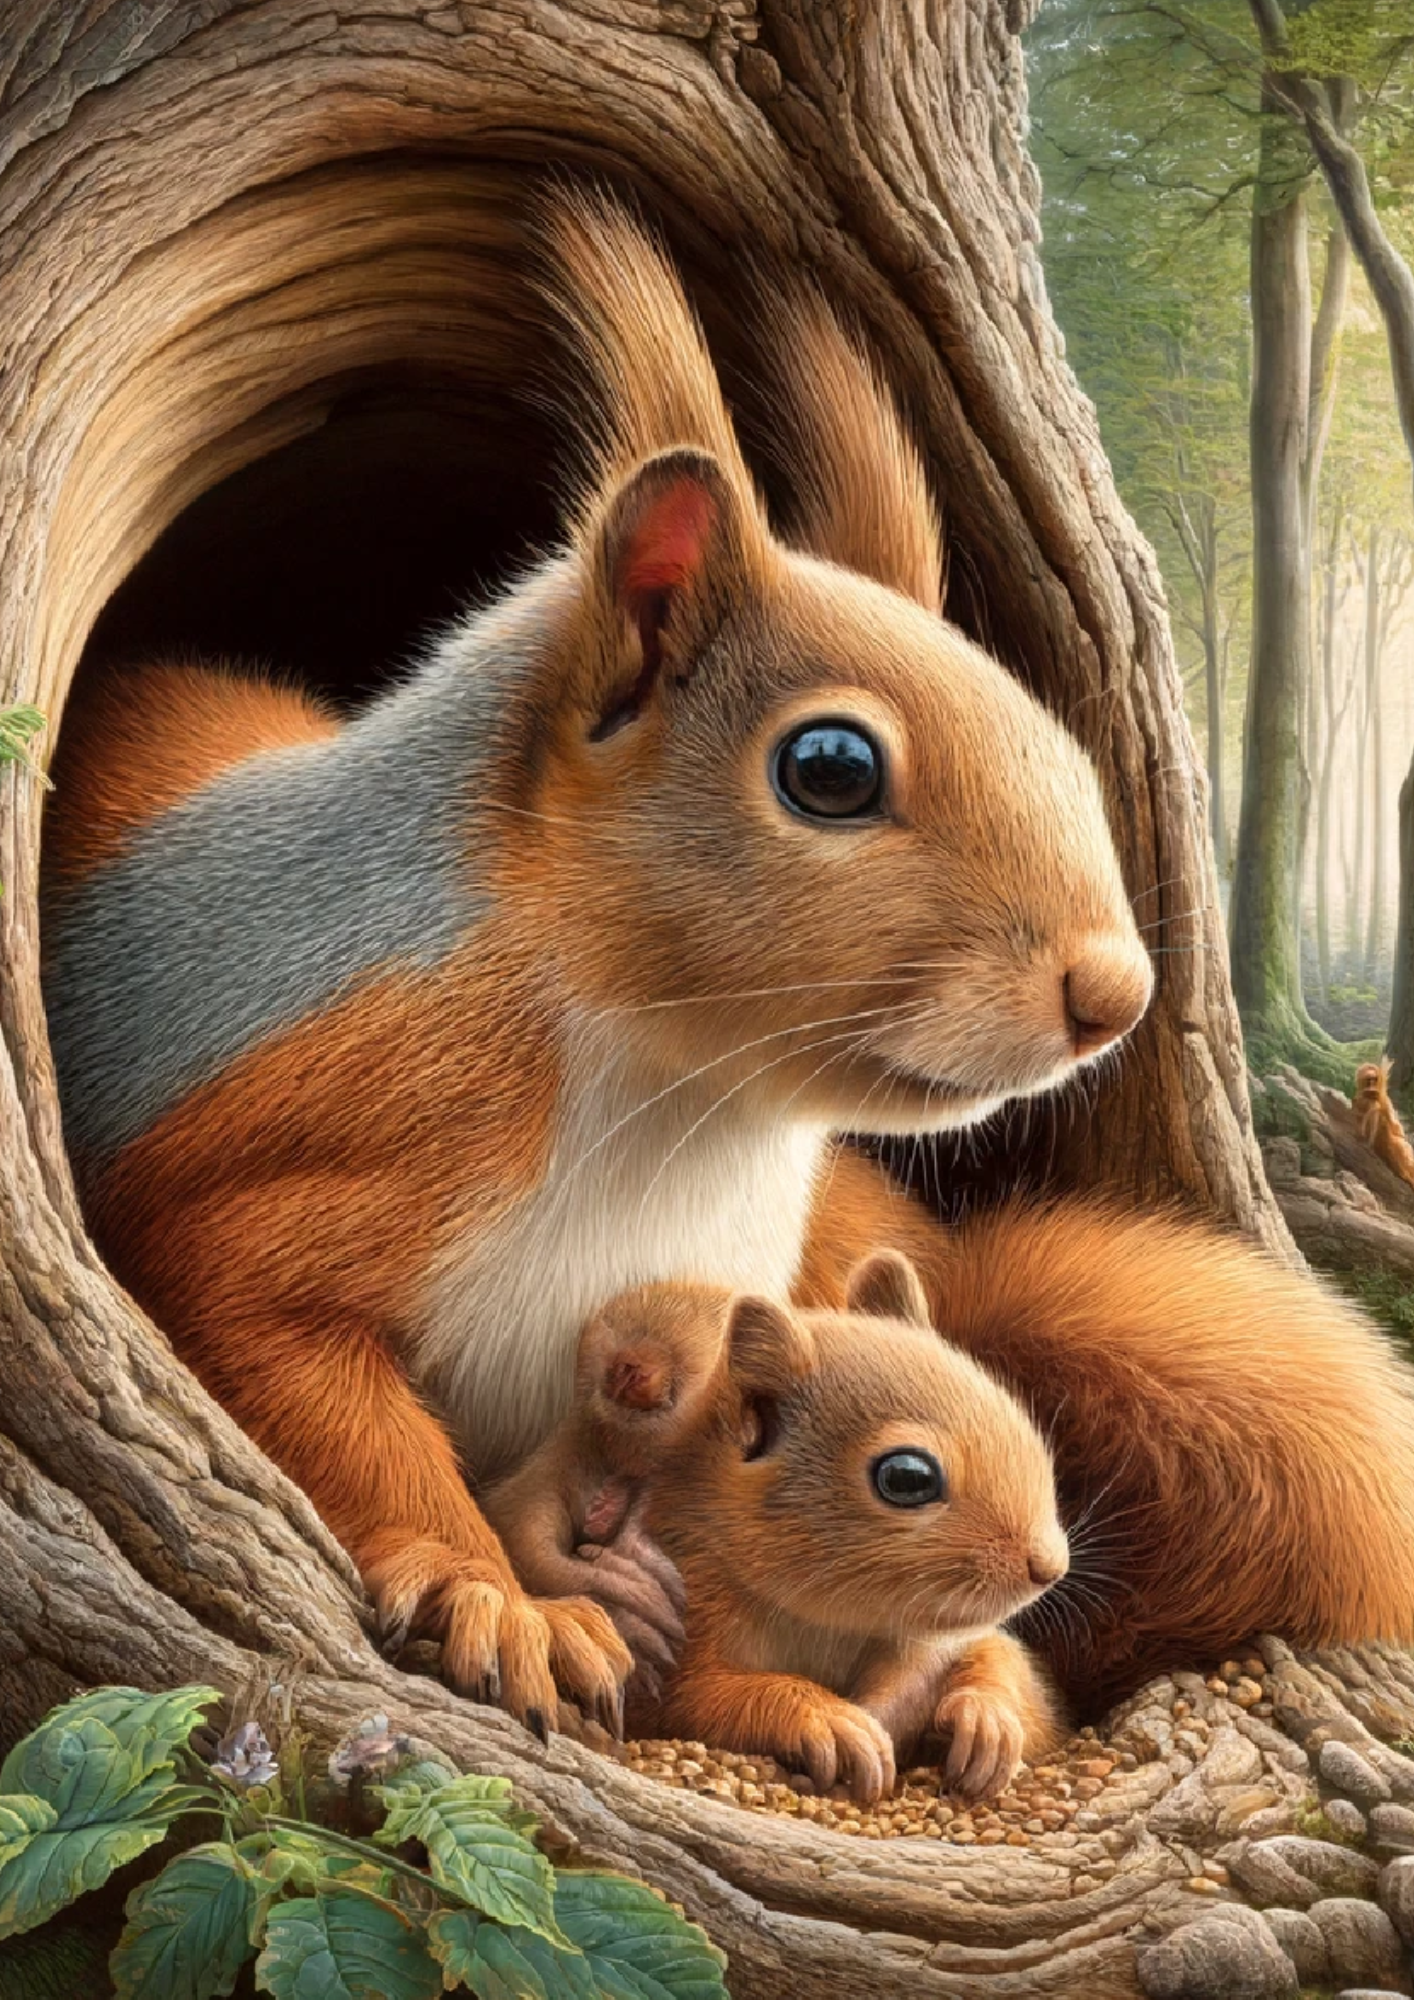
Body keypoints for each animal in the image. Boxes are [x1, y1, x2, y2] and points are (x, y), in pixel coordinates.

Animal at [44, 189, 1414, 1733]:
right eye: (829, 768)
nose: (1110, 993)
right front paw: (497, 1595)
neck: (681, 1106)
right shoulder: (271, 1168)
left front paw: (983, 1676)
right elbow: (303, 1382)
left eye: (1058, 732)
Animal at [484, 1253, 1067, 1803]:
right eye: (907, 1478)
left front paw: (987, 1717)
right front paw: (827, 1718)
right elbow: (703, 1700)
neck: (829, 1624)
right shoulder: (691, 1622)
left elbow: (1006, 1672)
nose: (1049, 1566)